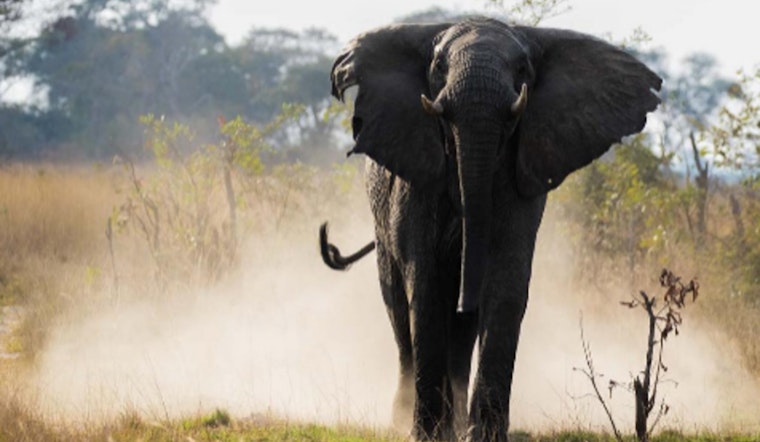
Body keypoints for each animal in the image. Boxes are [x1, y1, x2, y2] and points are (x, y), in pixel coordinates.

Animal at [319, 17, 661, 442]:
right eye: (437, 66)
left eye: (522, 69)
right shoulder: (416, 174)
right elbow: (424, 284)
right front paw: (427, 435)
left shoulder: (522, 175)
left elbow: (506, 283)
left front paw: (482, 435)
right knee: (398, 306)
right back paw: (405, 420)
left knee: (460, 330)